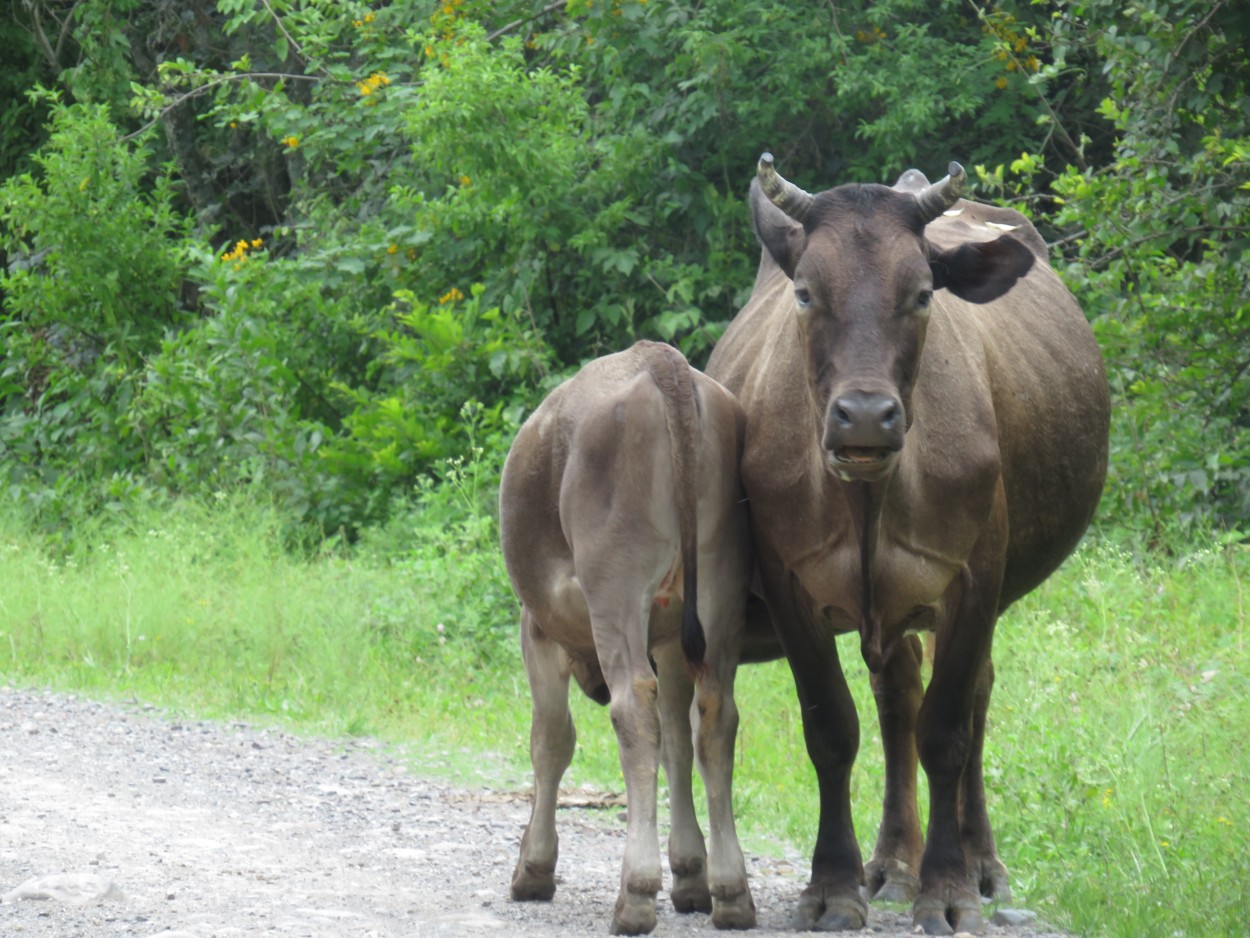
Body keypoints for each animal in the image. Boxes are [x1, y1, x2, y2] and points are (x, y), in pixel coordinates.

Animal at [500, 342, 755, 935]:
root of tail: (661, 361)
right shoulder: (669, 641)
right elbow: (677, 742)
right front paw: (690, 871)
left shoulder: (536, 627)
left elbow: (550, 739)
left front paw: (533, 867)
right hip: (720, 587)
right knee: (714, 718)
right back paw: (731, 891)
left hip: (615, 587)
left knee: (633, 709)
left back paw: (635, 893)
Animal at [710, 158, 1110, 935]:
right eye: (806, 291)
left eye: (923, 293)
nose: (865, 415)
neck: (868, 496)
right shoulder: (790, 584)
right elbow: (832, 729)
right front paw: (834, 886)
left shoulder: (973, 582)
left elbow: (947, 731)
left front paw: (948, 889)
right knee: (896, 698)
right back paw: (894, 862)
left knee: (972, 698)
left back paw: (981, 866)